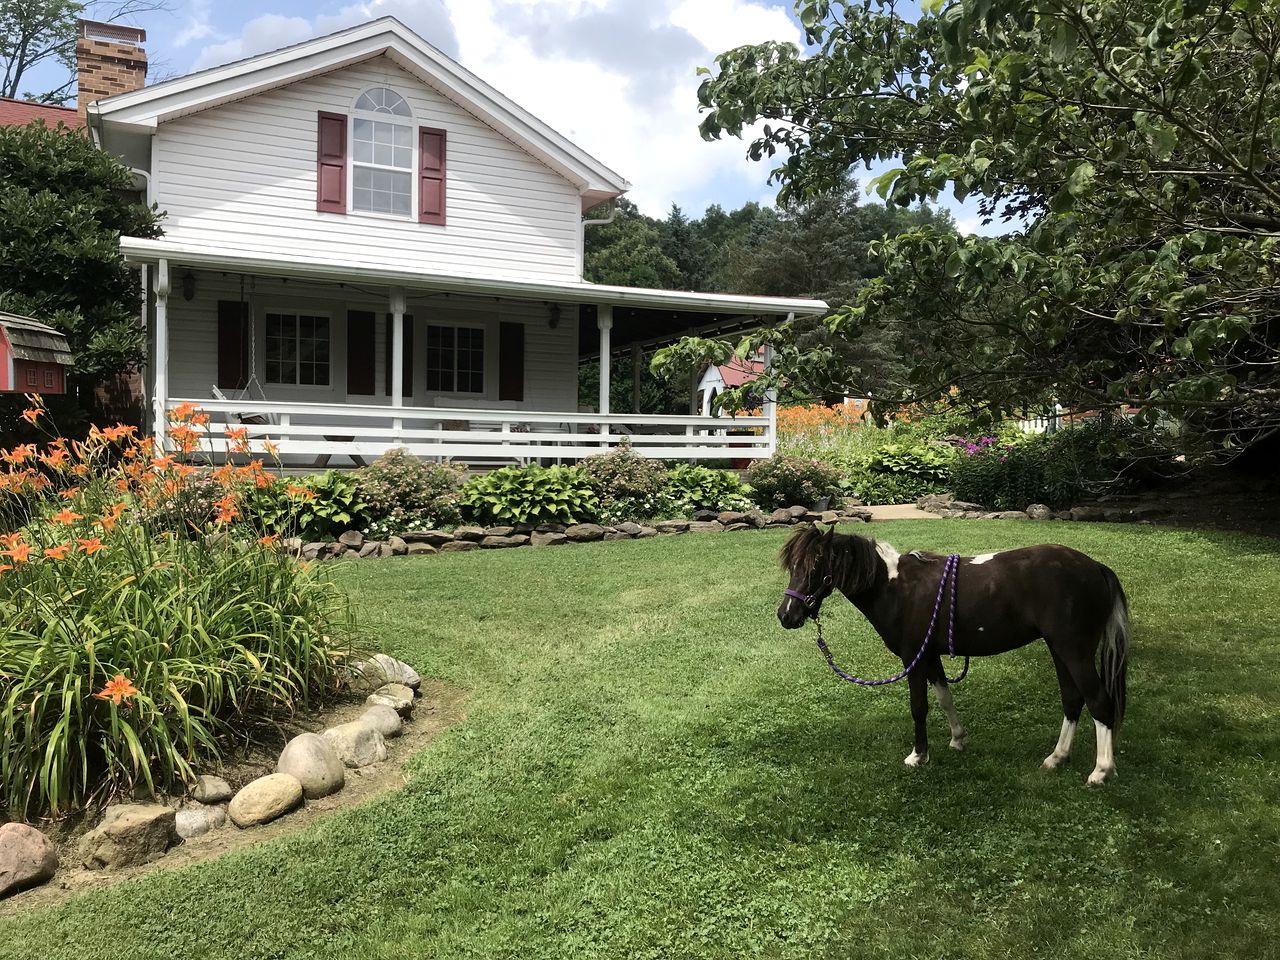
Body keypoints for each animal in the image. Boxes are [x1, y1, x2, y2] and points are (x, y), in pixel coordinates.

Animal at [778, 527, 1131, 788]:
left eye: (815, 568)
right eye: (793, 567)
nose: (786, 615)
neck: (895, 586)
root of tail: (1096, 568)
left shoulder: (913, 657)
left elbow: (919, 707)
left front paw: (919, 755)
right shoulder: (930, 656)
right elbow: (945, 698)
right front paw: (958, 740)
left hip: (1074, 650)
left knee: (1099, 701)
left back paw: (1101, 771)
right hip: (1059, 649)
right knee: (1072, 700)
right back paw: (1057, 758)